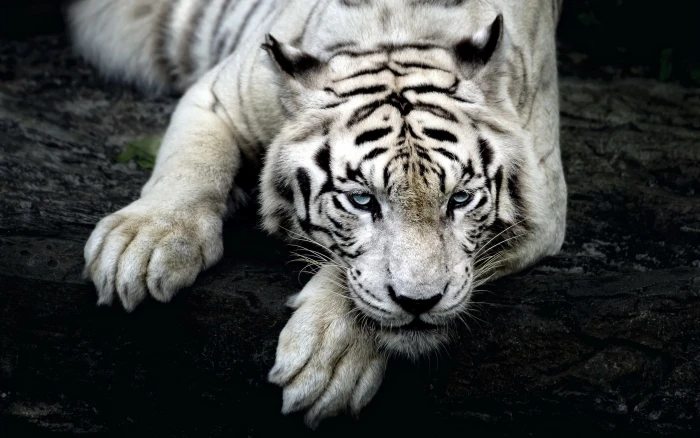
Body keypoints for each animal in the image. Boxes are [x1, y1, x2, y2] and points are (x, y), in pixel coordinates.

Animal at [68, 0, 567, 428]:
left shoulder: (544, 205)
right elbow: (191, 163)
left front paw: (328, 357)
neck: (396, 31)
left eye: (459, 199)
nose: (420, 303)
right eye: (363, 200)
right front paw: (141, 245)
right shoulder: (217, 96)